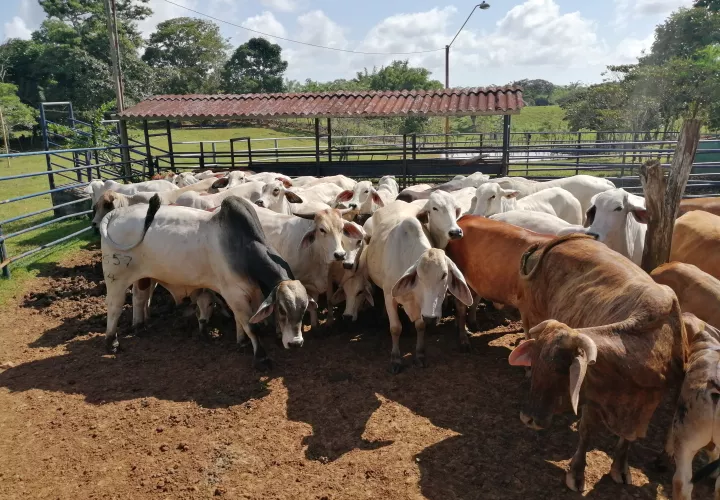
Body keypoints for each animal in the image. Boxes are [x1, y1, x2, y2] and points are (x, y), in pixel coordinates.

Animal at [99, 195, 316, 372]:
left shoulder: (253, 294)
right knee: (115, 306)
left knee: (139, 298)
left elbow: (244, 322)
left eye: (304, 310)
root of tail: (117, 213)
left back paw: (140, 327)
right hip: (116, 277)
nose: (296, 343)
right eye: (282, 310)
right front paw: (261, 357)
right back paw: (111, 341)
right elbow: (251, 326)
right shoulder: (234, 294)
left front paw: (242, 342)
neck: (243, 249)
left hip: (143, 276)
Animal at [444, 217, 552, 346]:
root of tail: (465, 218)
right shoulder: (528, 311)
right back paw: (464, 338)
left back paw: (472, 324)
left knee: (474, 301)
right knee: (461, 307)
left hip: (478, 281)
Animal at [506, 233, 688, 492]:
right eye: (539, 362)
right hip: (531, 313)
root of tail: (550, 241)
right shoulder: (592, 397)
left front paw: (620, 467)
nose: (527, 418)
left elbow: (627, 440)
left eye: (562, 370)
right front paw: (576, 472)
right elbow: (586, 432)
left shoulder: (646, 405)